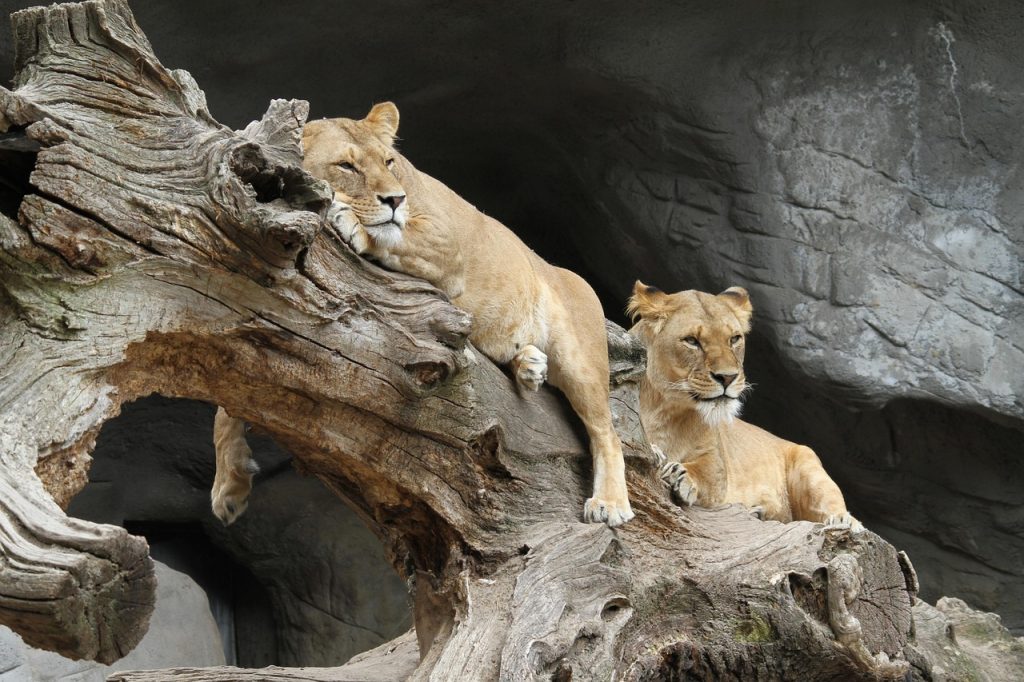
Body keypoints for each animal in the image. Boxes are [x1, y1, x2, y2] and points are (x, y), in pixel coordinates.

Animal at [211, 103, 634, 528]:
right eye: (347, 165)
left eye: (388, 161)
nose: (395, 199)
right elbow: (225, 398)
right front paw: (229, 484)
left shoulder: (447, 243)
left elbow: (392, 235)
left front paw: (348, 219)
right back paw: (529, 365)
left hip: (580, 358)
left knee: (607, 432)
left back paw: (610, 503)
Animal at [626, 281, 859, 529]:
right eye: (691, 341)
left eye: (734, 339)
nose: (728, 377)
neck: (665, 409)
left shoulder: (716, 463)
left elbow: (706, 473)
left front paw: (680, 475)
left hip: (808, 463)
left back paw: (843, 521)